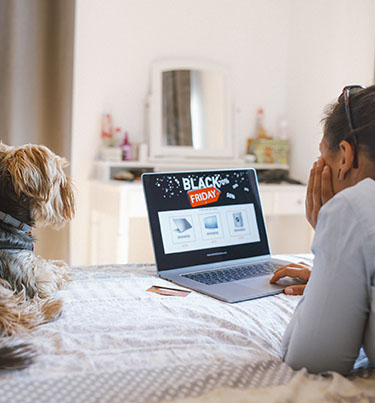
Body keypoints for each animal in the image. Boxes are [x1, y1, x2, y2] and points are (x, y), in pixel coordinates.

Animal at [0, 144, 75, 370]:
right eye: (59, 176)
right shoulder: (33, 278)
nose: (70, 186)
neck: (8, 218)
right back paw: (51, 308)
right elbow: (51, 273)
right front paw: (62, 267)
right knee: (16, 320)